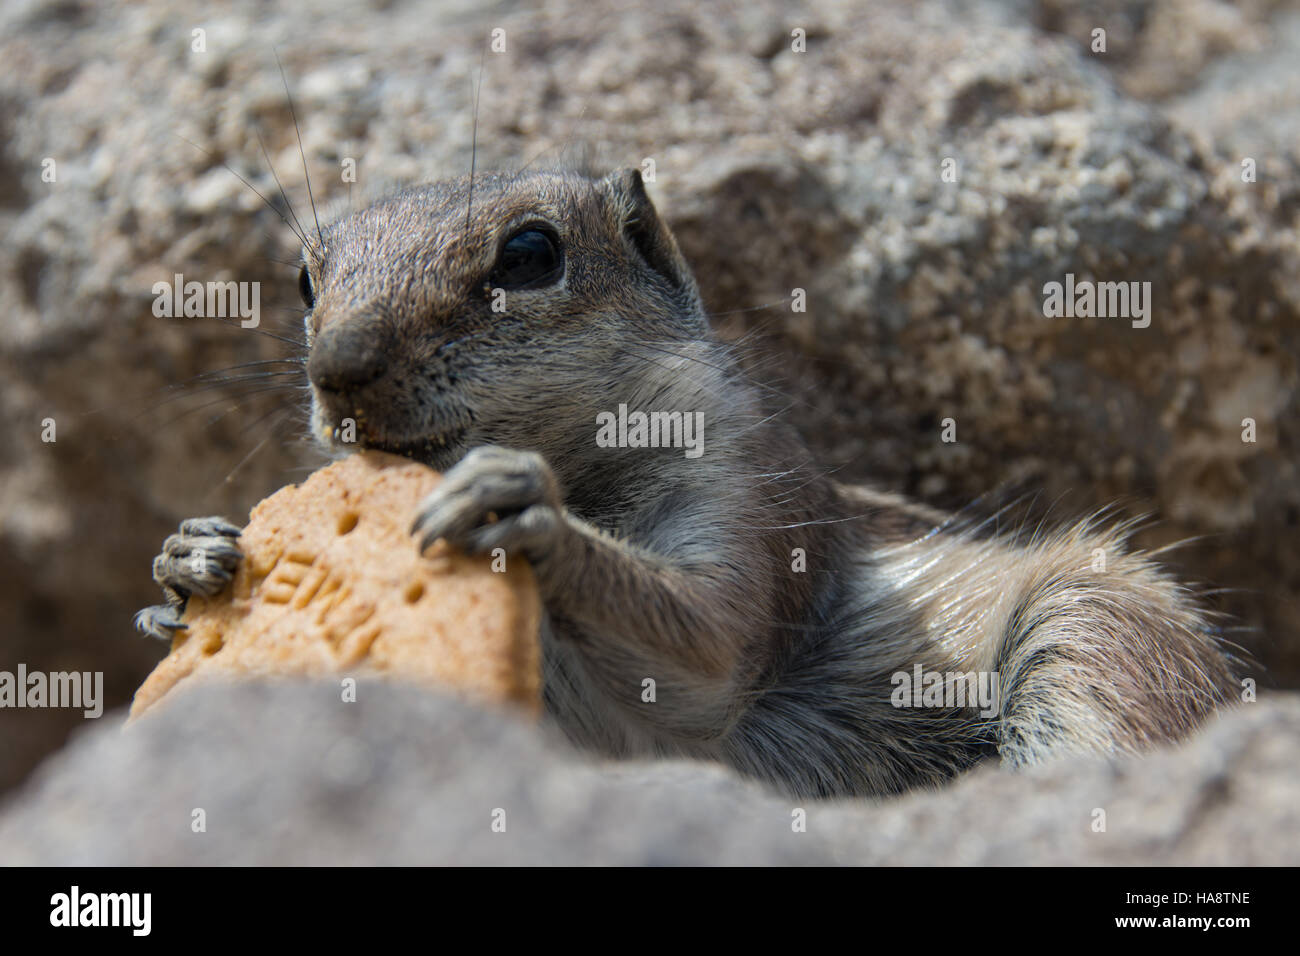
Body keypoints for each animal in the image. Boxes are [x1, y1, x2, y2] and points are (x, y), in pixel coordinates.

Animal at [134, 166, 1237, 801]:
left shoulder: (748, 499)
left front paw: (524, 513)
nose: (337, 367)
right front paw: (190, 564)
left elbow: (702, 638)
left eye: (529, 253)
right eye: (304, 281)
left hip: (1103, 629)